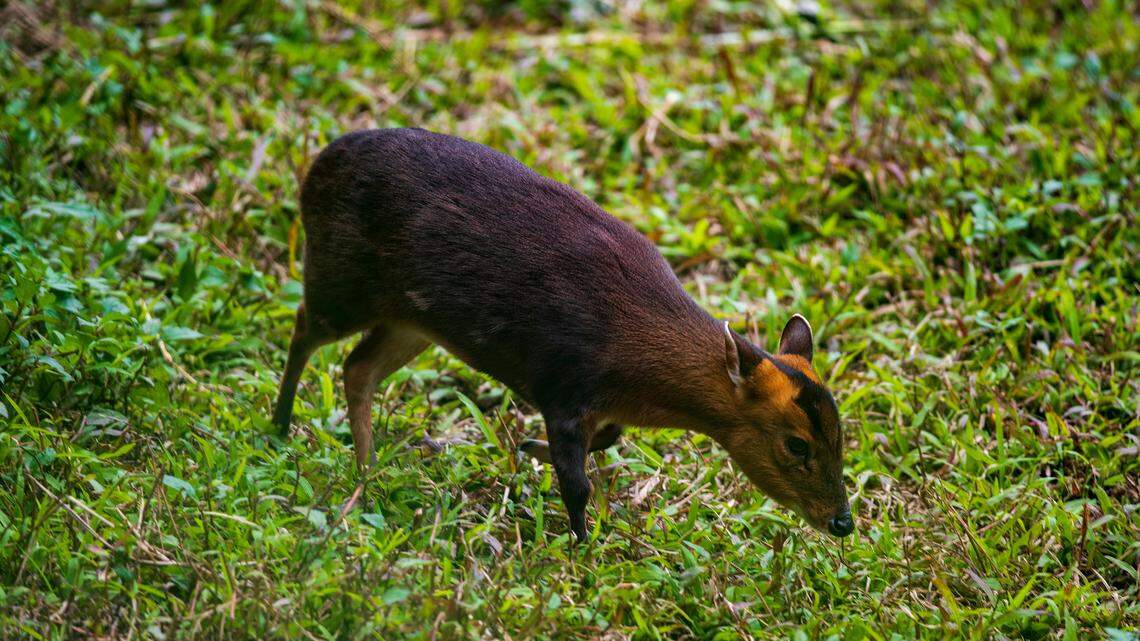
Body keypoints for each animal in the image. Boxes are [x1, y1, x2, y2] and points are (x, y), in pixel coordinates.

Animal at [272, 128, 853, 541]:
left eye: (843, 434)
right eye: (796, 444)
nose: (843, 522)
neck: (634, 359)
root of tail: (317, 166)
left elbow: (610, 439)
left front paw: (527, 447)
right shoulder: (563, 385)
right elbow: (576, 487)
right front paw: (583, 550)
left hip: (411, 320)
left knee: (358, 367)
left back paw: (367, 471)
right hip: (341, 279)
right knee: (304, 327)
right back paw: (280, 428)